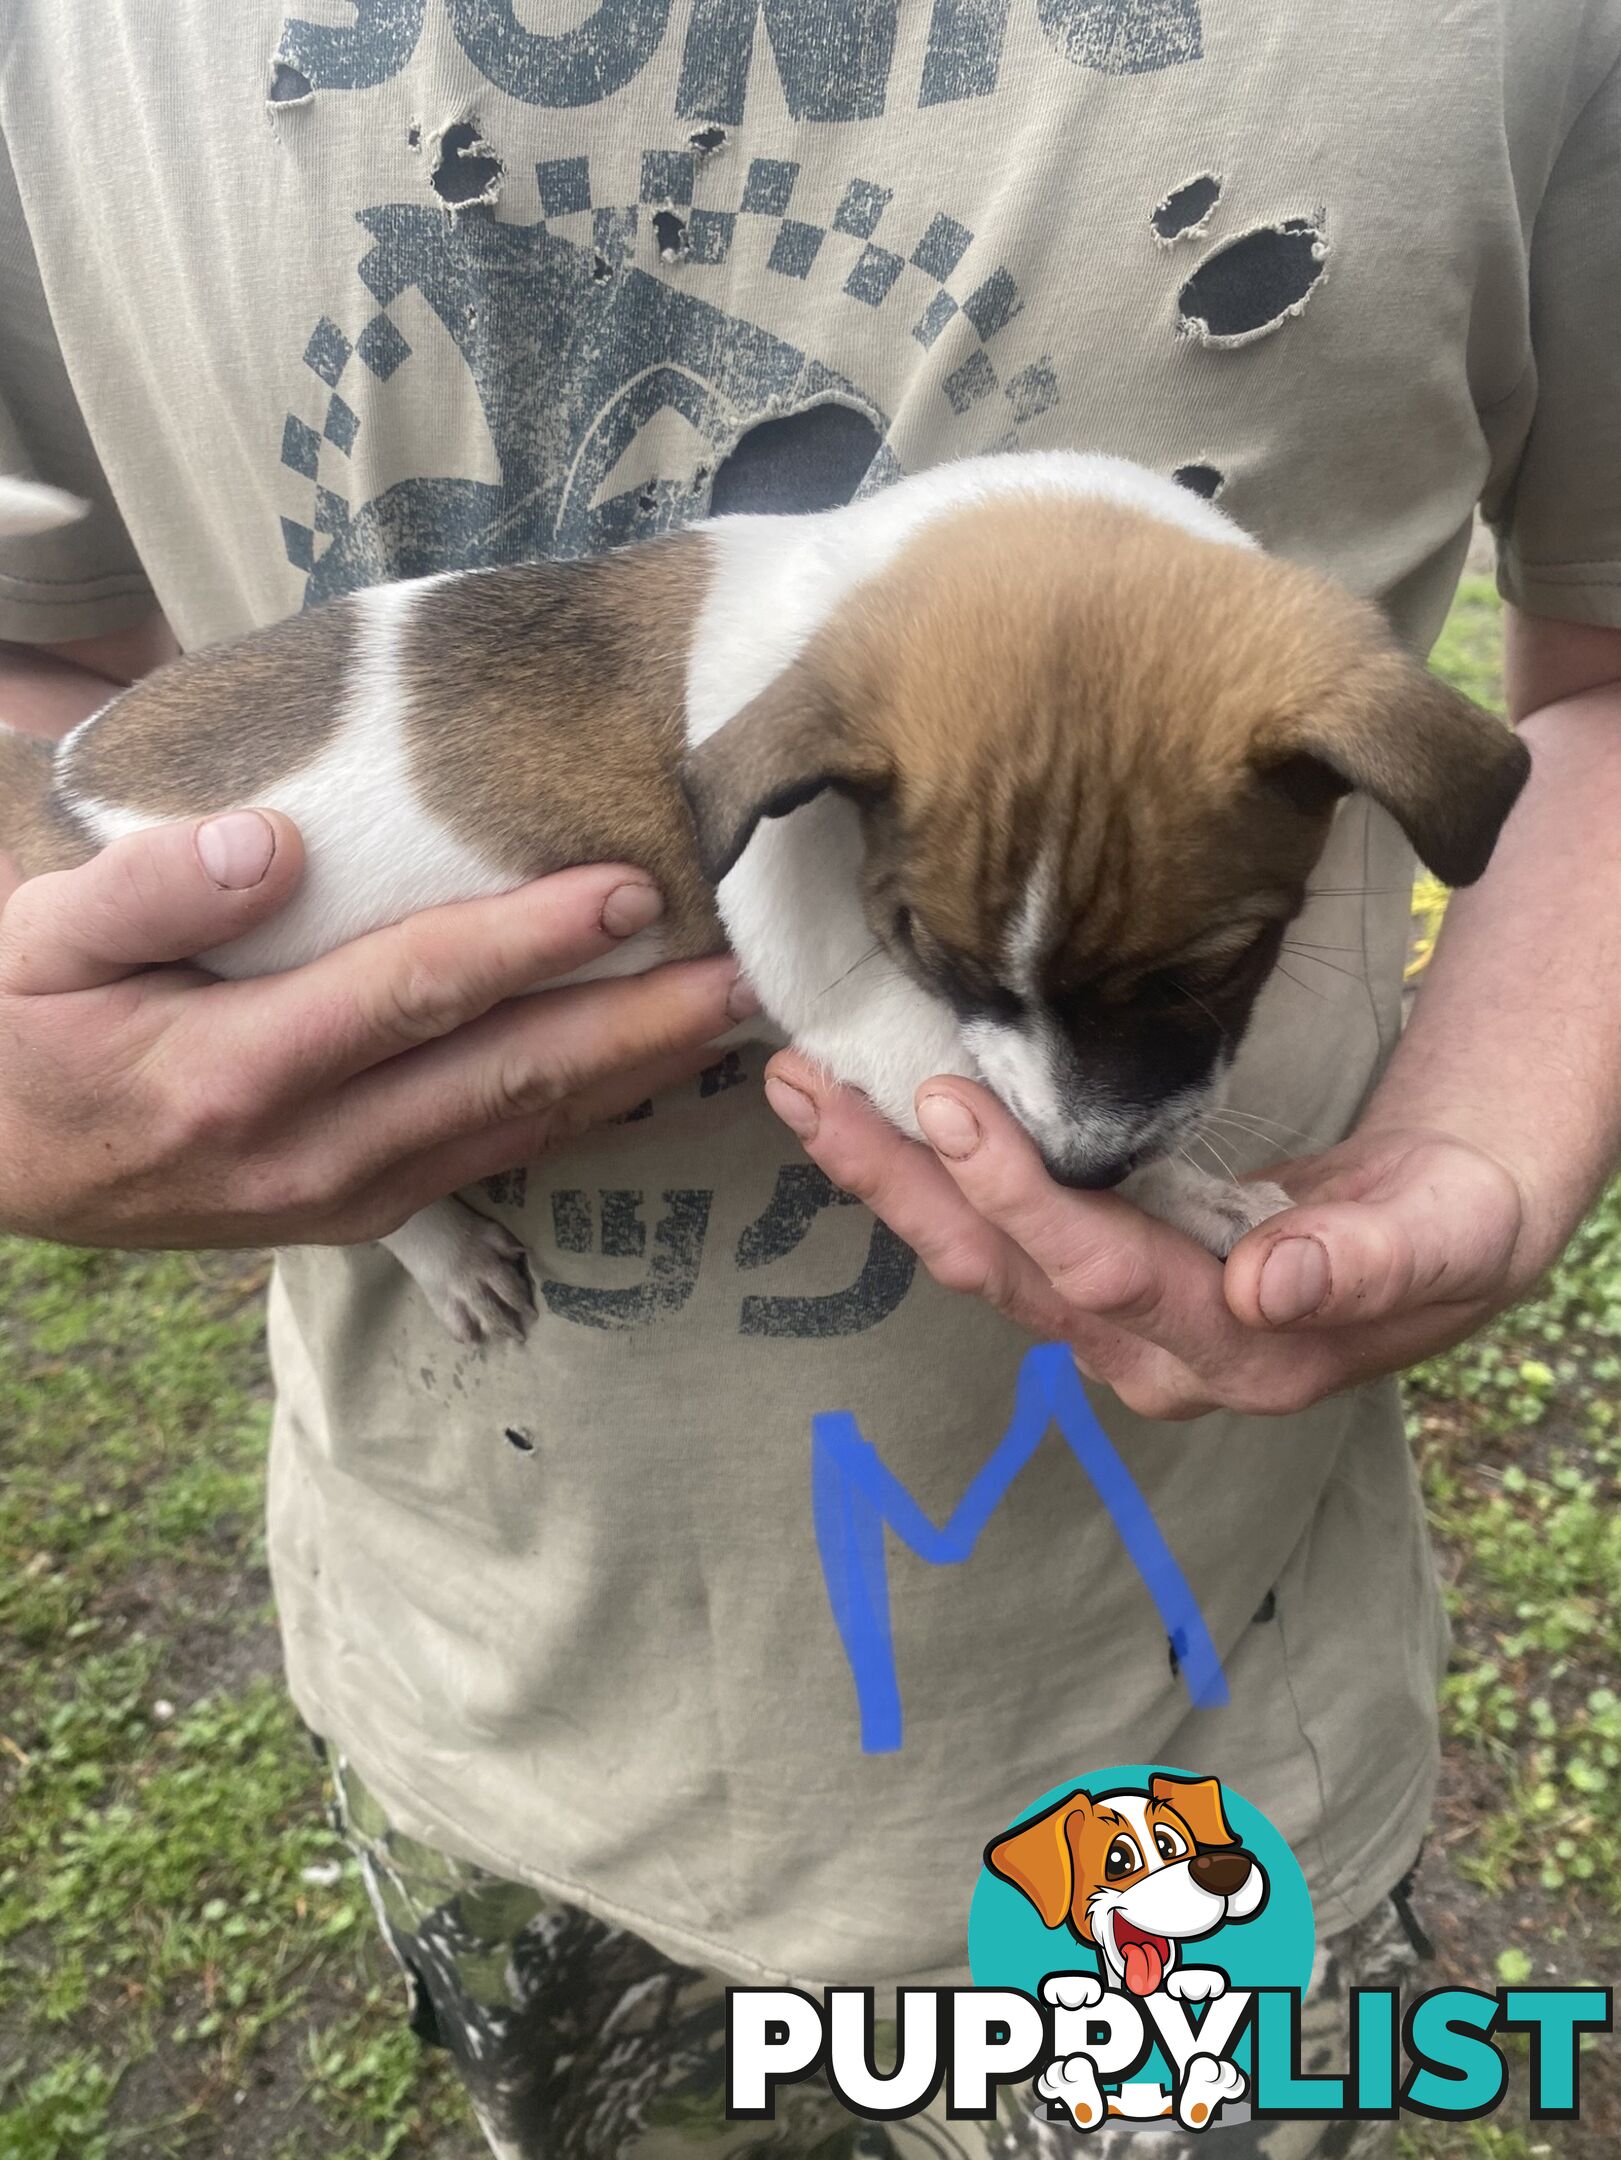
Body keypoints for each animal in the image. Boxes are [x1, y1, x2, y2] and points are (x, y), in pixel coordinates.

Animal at [0, 453, 1530, 1330]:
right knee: (362, 1199)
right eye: (935, 964)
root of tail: (53, 788)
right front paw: (1186, 1203)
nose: (1082, 1175)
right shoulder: (870, 1017)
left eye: (1208, 972)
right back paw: (442, 1254)